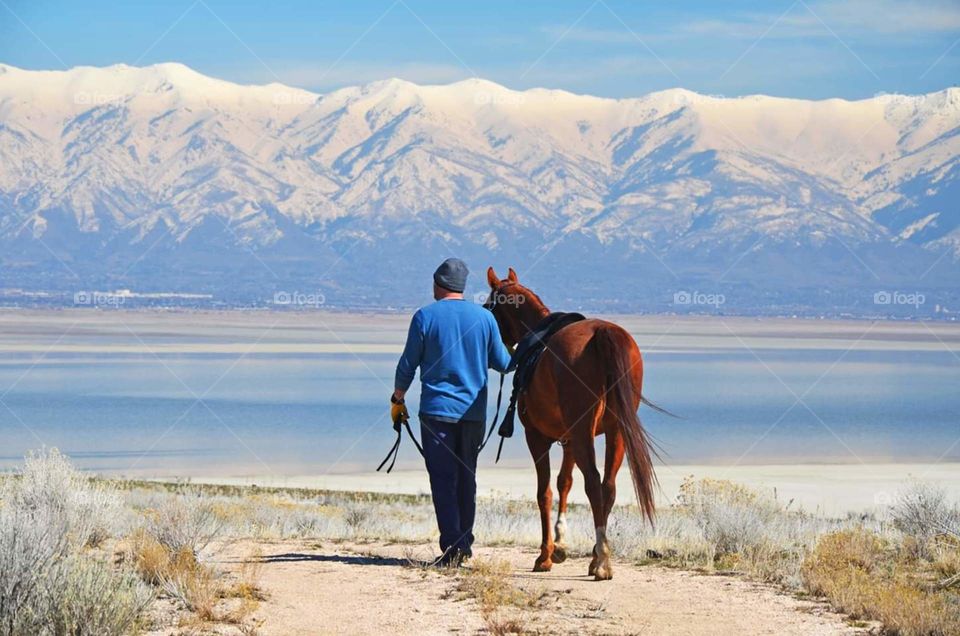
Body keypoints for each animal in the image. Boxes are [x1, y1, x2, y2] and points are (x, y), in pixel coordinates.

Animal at [484, 268, 656, 580]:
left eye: (488, 305)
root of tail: (602, 333)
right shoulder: (569, 440)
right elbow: (565, 482)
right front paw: (561, 545)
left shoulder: (537, 437)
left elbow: (545, 492)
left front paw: (545, 556)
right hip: (614, 431)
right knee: (607, 487)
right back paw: (597, 555)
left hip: (583, 431)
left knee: (593, 484)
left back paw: (601, 562)